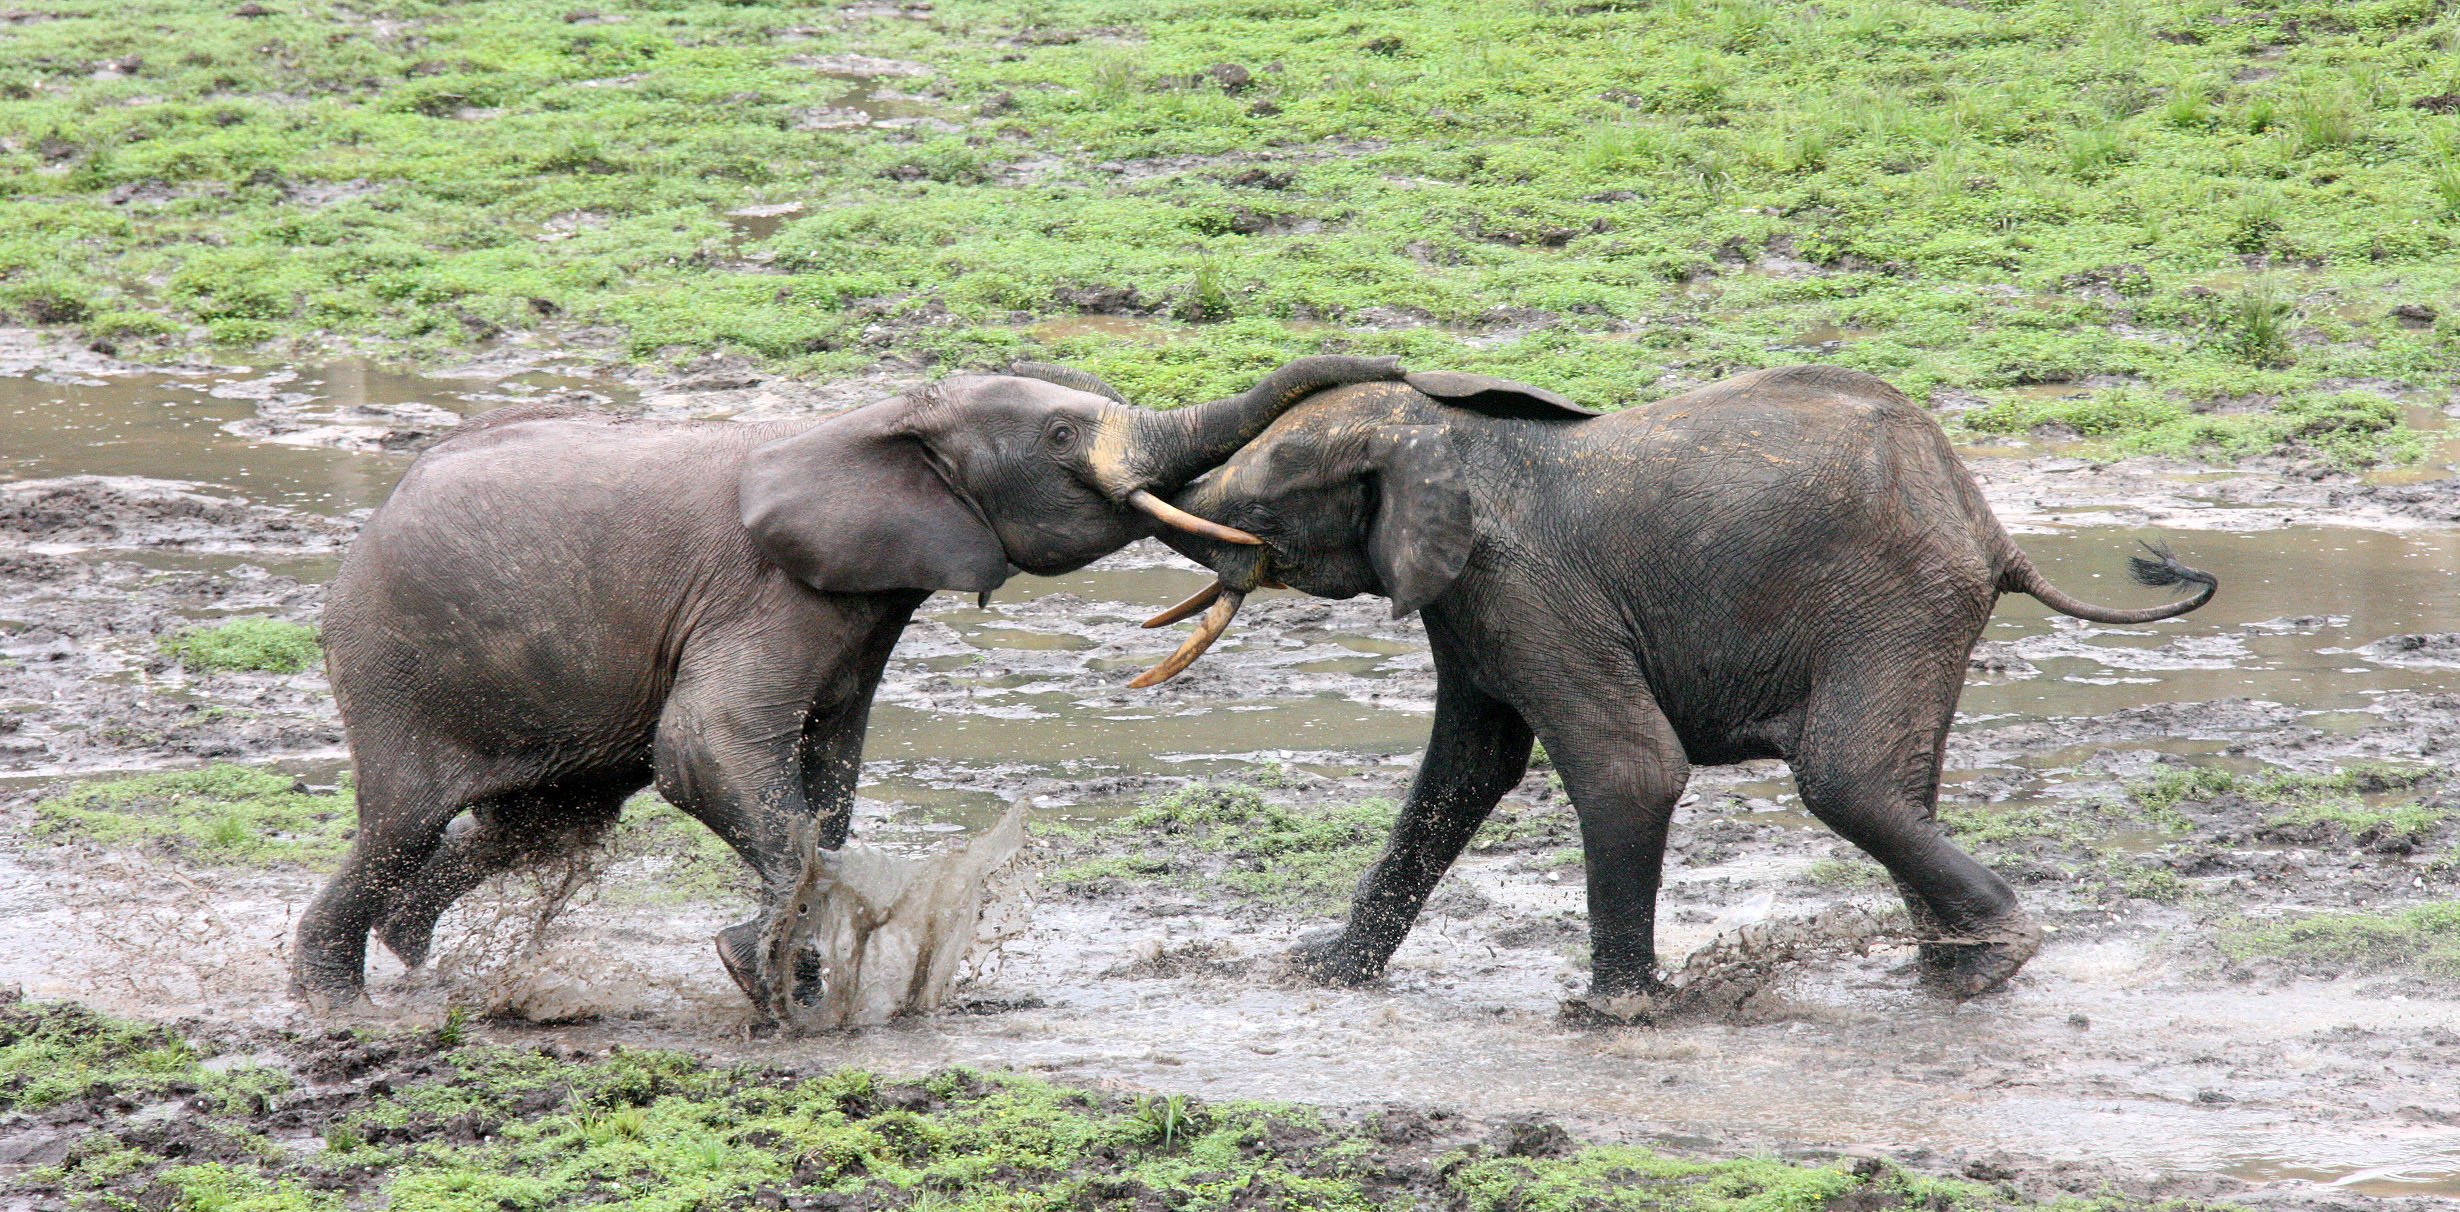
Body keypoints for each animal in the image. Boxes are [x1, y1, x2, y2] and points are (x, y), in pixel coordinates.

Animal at [291, 354, 1413, 1014]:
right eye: (1059, 439)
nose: (1400, 368)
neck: (877, 421)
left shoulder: (863, 611)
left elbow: (825, 778)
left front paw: (785, 969)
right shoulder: (765, 590)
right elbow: (708, 748)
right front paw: (761, 973)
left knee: (548, 826)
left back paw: (409, 948)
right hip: (395, 659)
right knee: (404, 823)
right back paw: (331, 999)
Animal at [1131, 364, 2217, 1006]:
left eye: (1264, 501)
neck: (1442, 435)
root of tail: (1993, 527)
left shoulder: (1523, 586)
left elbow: (1629, 767)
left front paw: (1613, 1012)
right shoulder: (1470, 602)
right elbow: (1465, 772)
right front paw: (1318, 975)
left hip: (1894, 599)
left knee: (1847, 782)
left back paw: (1995, 961)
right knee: (1900, 787)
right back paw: (1955, 975)